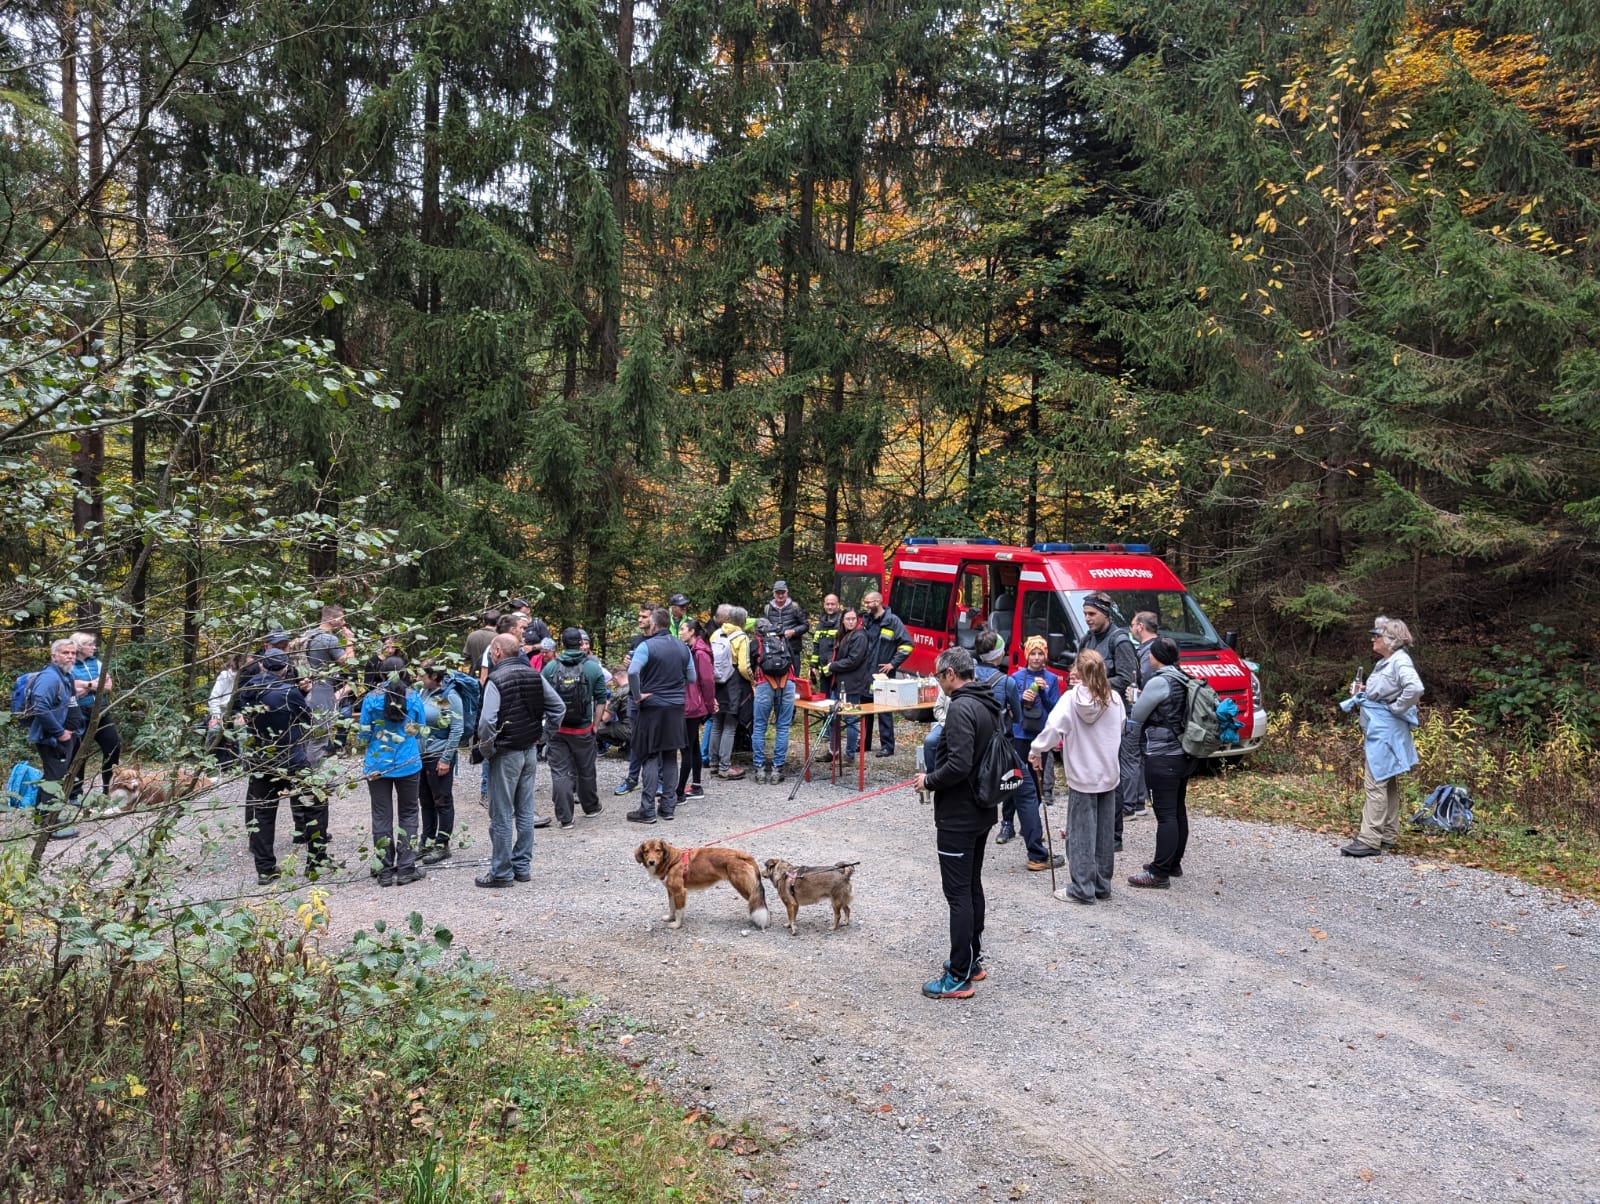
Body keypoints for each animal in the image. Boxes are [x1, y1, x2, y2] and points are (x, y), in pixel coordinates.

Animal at [630, 838, 768, 928]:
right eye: (646, 851)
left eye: (658, 850)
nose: (651, 862)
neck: (672, 862)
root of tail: (744, 855)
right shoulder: (670, 891)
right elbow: (672, 907)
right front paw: (670, 918)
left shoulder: (680, 892)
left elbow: (679, 910)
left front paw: (676, 925)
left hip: (743, 887)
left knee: (755, 901)